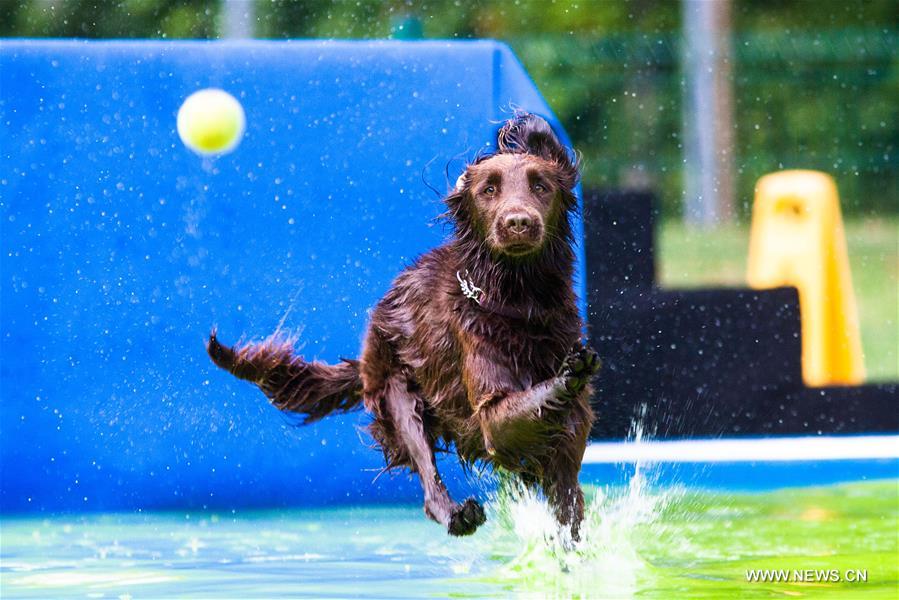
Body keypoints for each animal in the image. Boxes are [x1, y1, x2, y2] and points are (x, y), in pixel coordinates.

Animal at [208, 112, 600, 540]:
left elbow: (568, 507)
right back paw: (456, 513)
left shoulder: (566, 446)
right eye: (488, 189)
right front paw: (569, 372)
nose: (518, 223)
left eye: (541, 186)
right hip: (397, 388)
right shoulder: (491, 414)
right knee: (425, 471)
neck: (519, 305)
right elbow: (521, 408)